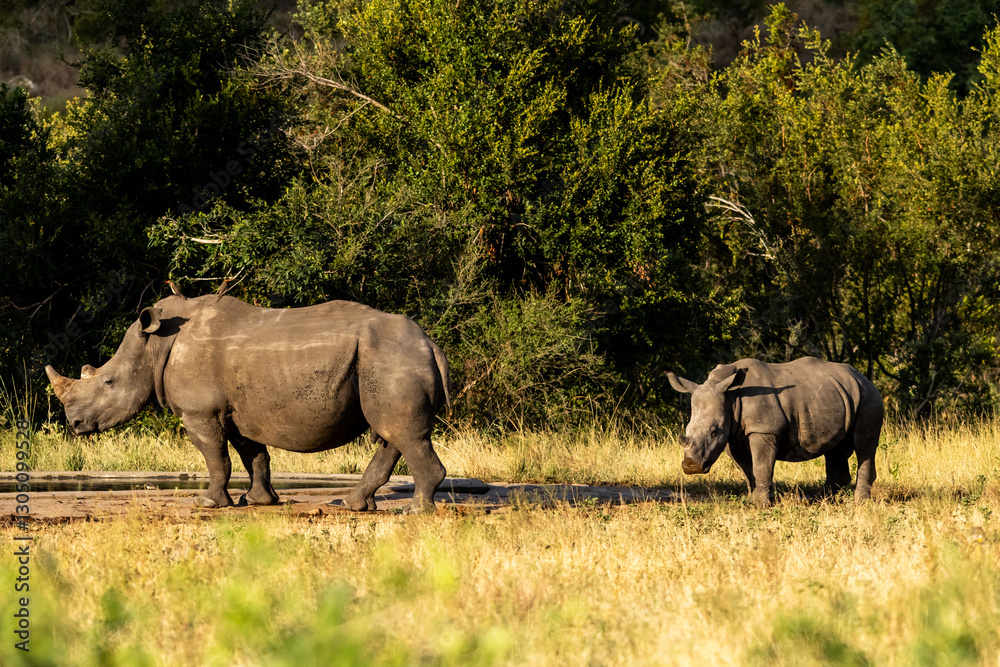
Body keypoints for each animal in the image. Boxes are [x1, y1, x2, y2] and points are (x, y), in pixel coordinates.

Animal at [45, 286, 451, 513]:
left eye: (109, 381)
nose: (74, 423)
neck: (157, 343)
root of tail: (429, 342)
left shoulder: (200, 411)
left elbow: (216, 457)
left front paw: (208, 503)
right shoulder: (238, 411)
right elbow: (252, 455)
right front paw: (257, 502)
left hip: (392, 358)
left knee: (402, 433)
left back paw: (416, 512)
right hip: (388, 360)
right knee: (392, 434)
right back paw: (356, 506)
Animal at [666, 357, 884, 505]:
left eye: (714, 432)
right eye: (687, 429)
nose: (691, 467)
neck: (731, 396)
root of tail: (864, 377)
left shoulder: (764, 429)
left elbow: (761, 465)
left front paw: (760, 503)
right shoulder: (733, 436)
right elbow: (747, 469)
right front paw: (755, 499)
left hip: (869, 397)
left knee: (863, 446)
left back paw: (859, 503)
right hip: (839, 395)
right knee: (835, 449)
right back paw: (821, 500)